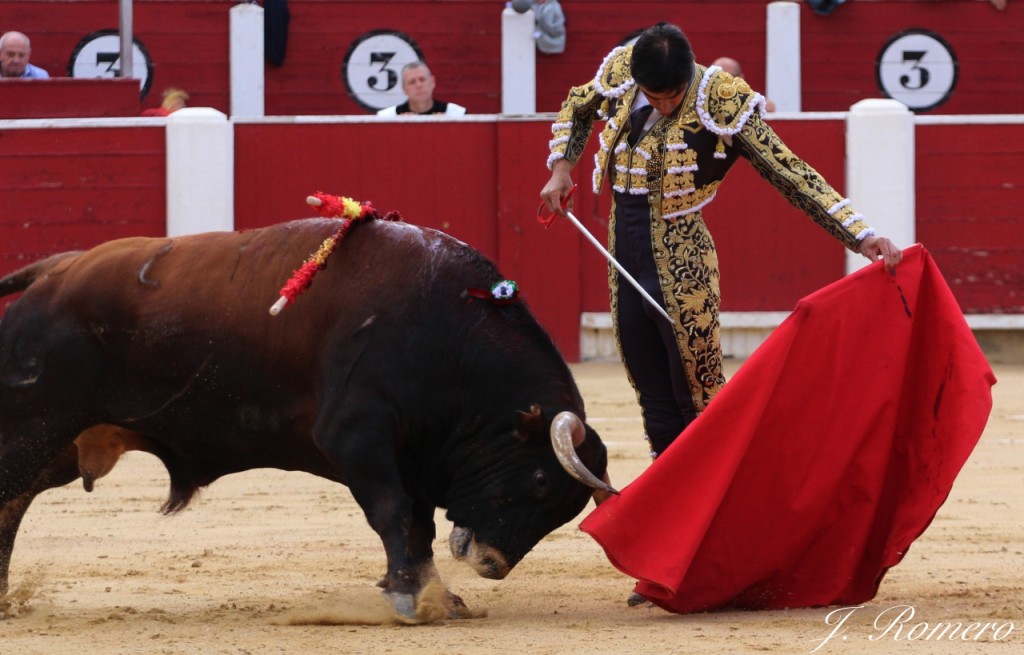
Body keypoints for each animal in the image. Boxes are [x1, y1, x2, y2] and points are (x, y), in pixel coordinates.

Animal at [0, 213, 610, 618]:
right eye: (539, 479)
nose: (492, 563)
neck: (446, 336)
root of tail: (55, 270)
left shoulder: (411, 456)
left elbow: (419, 524)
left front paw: (438, 596)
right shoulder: (357, 439)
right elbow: (392, 513)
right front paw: (411, 596)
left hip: (57, 446)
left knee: (14, 503)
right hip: (31, 427)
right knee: (9, 499)